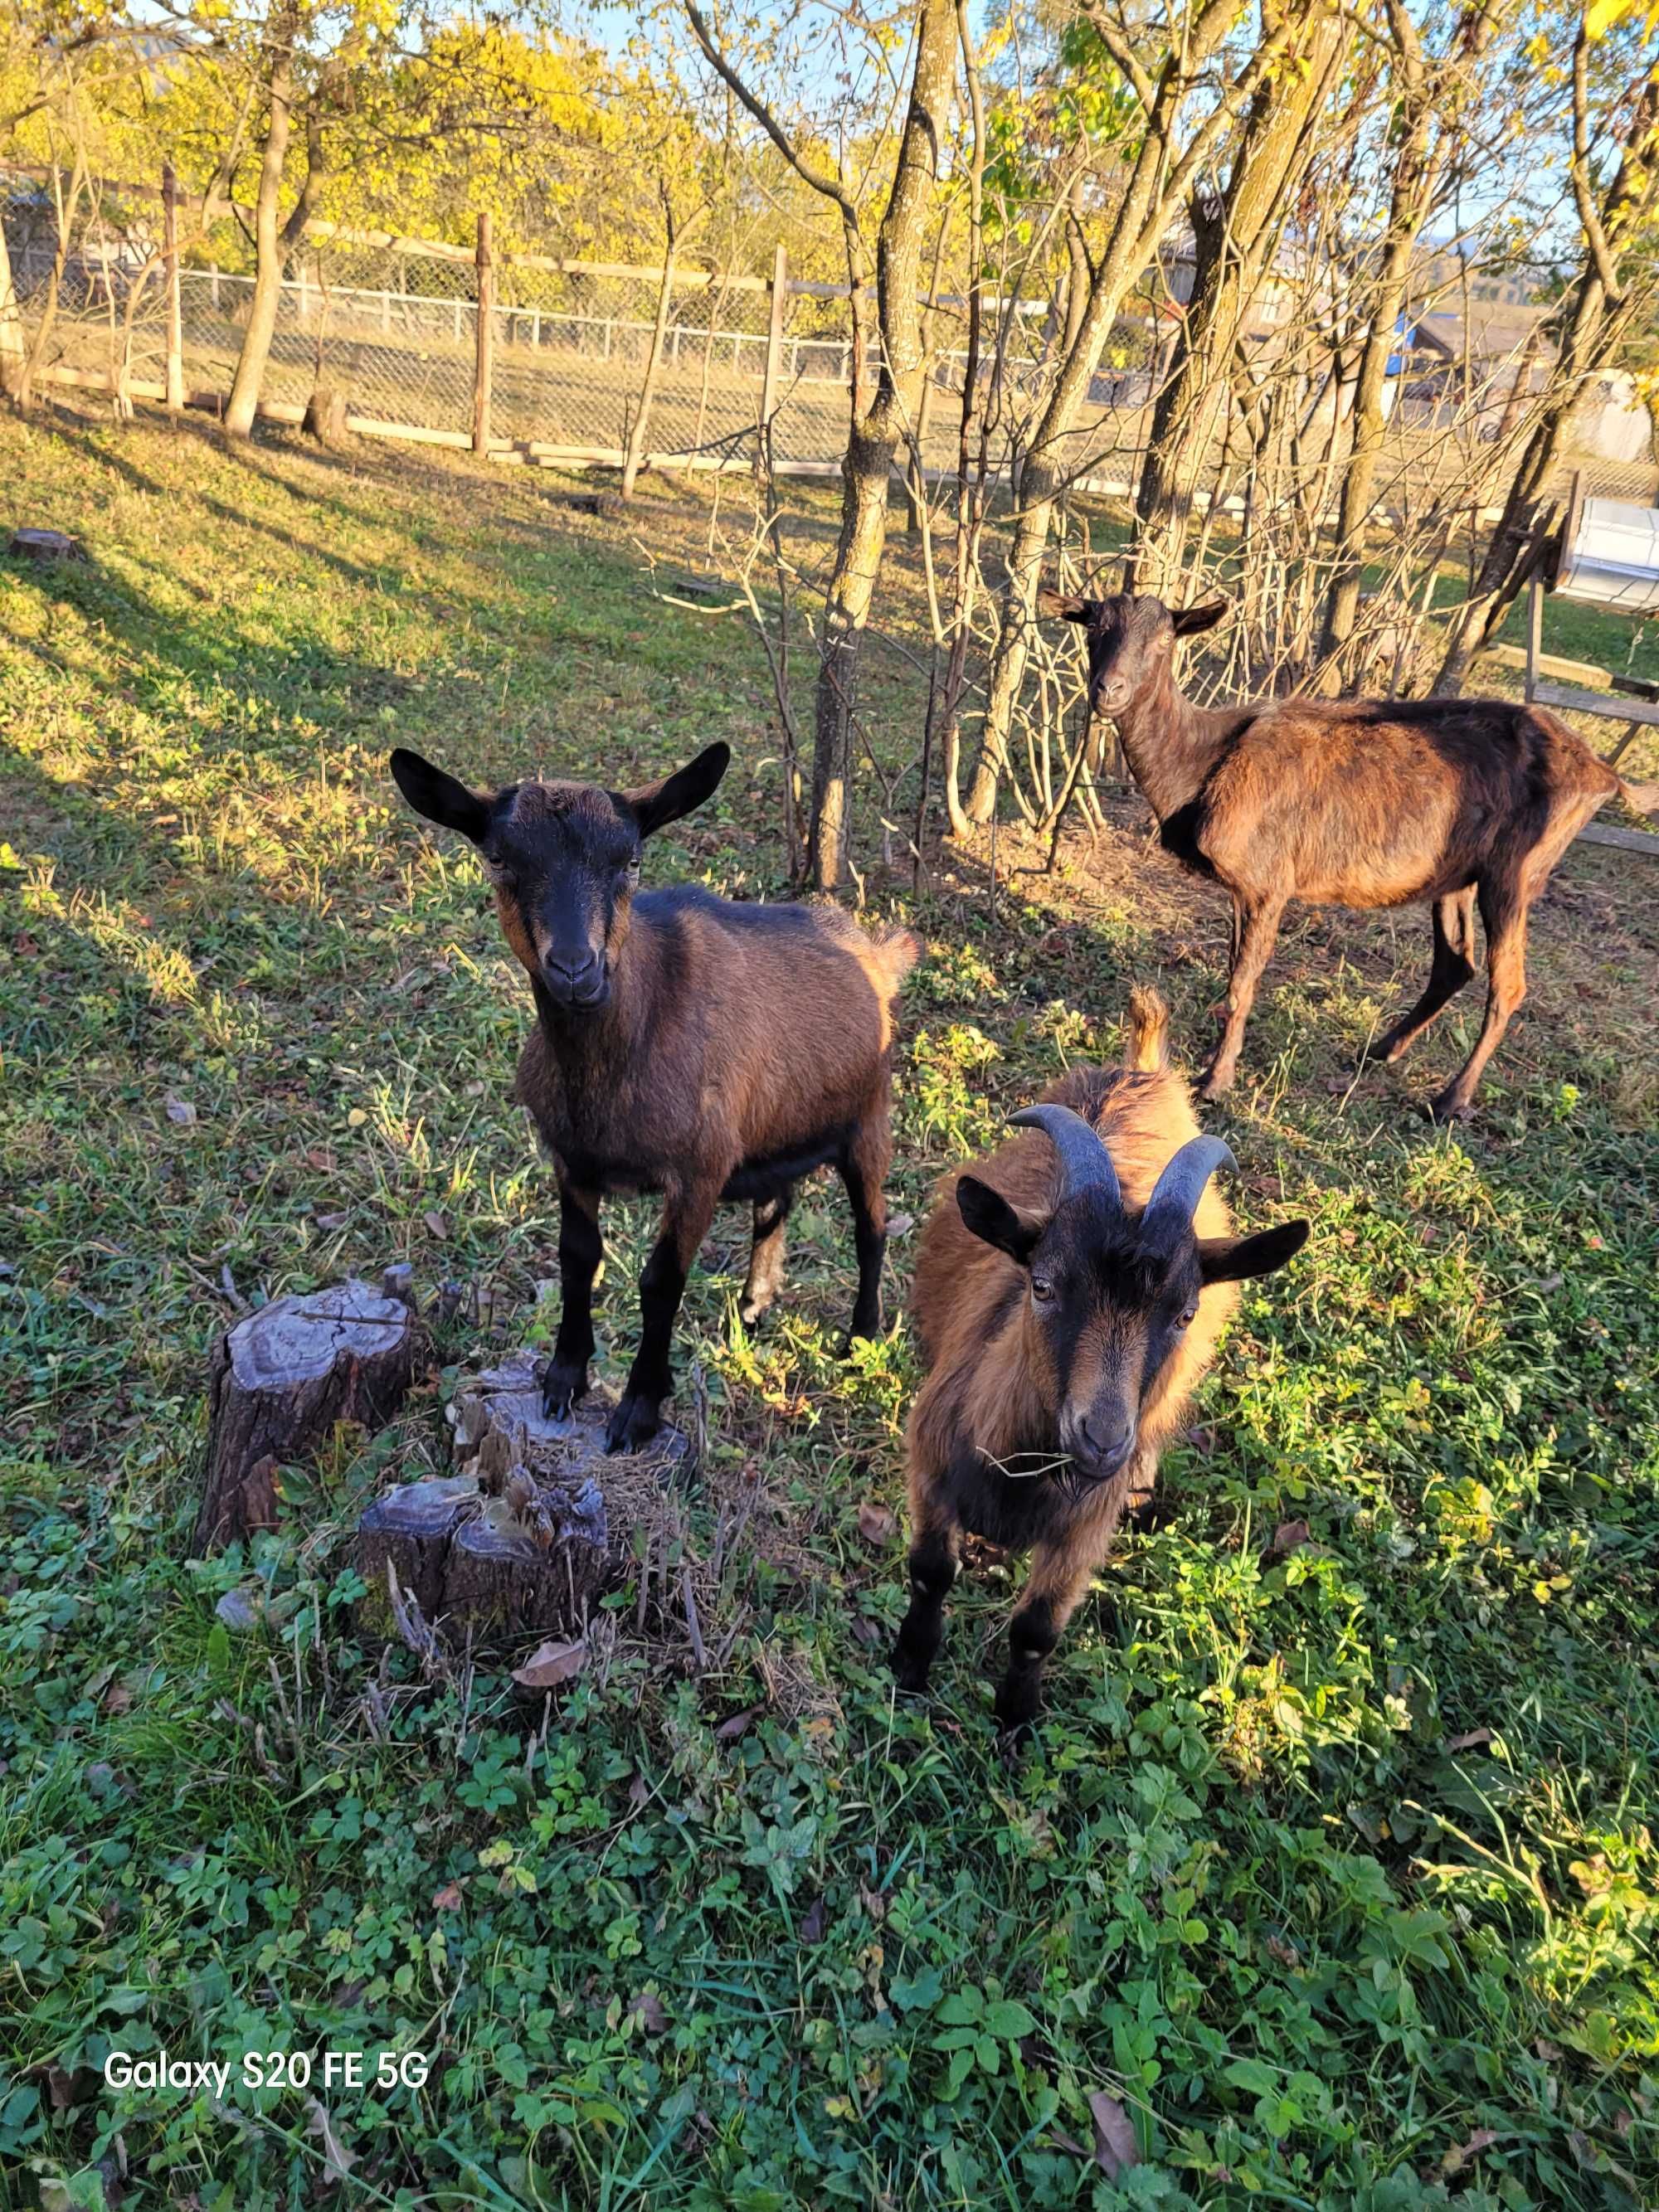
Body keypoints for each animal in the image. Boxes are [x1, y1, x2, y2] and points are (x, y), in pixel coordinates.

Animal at [392, 743, 924, 1451]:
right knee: (776, 1199)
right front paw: (564, 1378)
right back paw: (753, 1304)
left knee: (872, 1226)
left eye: (632, 861)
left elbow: (660, 1280)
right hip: (775, 1125)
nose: (576, 969)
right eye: (499, 858)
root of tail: (881, 952)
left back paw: (860, 1336)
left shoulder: (699, 1169)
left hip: (868, 1118)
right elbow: (578, 1257)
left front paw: (640, 1407)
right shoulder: (571, 1160)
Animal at [898, 990, 1309, 1743]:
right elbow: (929, 1571)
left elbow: (1036, 1630)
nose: (1101, 1439)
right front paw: (908, 1670)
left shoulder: (1082, 1534)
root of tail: (1141, 1066)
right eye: (1042, 1285)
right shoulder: (930, 1466)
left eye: (1183, 1313)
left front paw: (1015, 1724)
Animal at [1039, 592, 1659, 1123]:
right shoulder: (1245, 886)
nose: (1108, 689)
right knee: (1454, 964)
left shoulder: (1269, 878)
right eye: (1093, 628)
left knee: (1507, 984)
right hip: (1456, 873)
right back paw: (1380, 1050)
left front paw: (1215, 1082)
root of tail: (1605, 774)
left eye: (1166, 639)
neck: (1200, 765)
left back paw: (1449, 1099)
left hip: (1519, 867)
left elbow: (1242, 981)